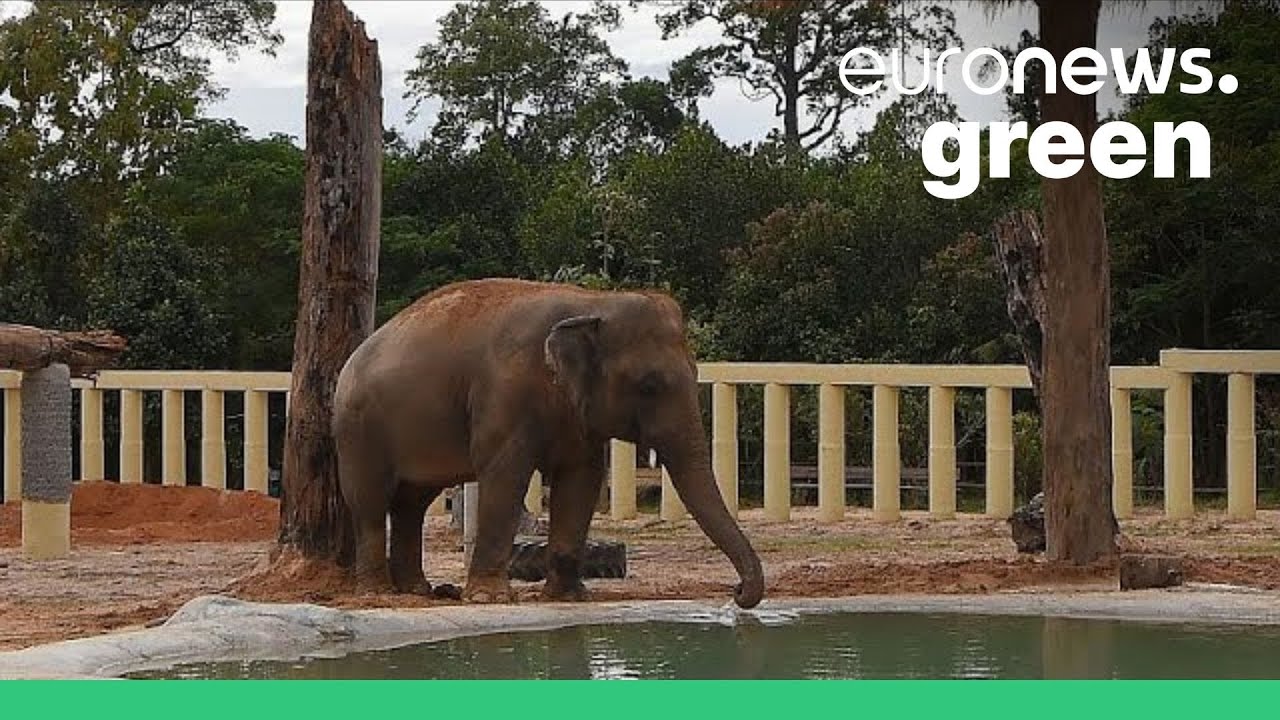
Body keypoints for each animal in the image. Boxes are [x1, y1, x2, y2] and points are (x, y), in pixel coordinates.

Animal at [332, 278, 764, 608]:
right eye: (648, 386)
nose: (737, 592)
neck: (592, 301)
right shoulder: (503, 394)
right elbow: (505, 476)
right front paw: (490, 599)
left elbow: (581, 480)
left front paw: (568, 597)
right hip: (358, 429)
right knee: (371, 502)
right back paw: (379, 595)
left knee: (412, 503)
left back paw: (419, 591)